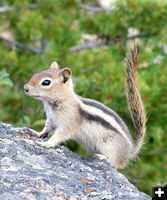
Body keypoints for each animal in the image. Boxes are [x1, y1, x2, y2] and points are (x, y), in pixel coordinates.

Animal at [23, 41, 146, 169]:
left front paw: (47, 144)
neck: (55, 103)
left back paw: (103, 157)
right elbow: (47, 128)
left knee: (117, 164)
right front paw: (37, 133)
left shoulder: (69, 122)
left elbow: (60, 135)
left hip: (110, 145)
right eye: (37, 74)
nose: (25, 88)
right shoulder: (51, 119)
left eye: (46, 82)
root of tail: (131, 150)